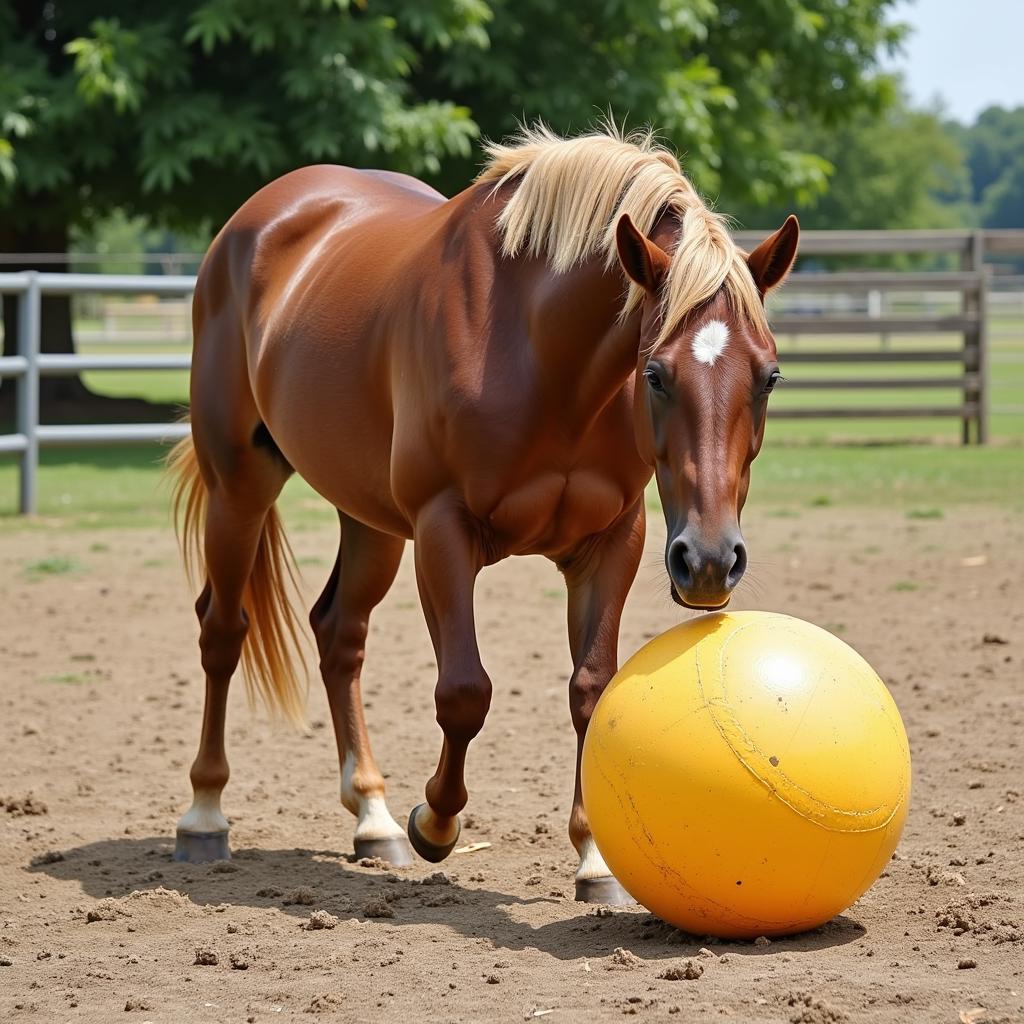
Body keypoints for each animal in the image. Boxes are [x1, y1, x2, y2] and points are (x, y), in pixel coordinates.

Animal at [169, 123, 798, 901]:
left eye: (769, 376)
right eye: (655, 372)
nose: (708, 561)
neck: (539, 352)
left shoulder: (614, 538)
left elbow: (591, 689)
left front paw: (596, 860)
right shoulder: (443, 530)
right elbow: (465, 692)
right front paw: (435, 824)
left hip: (368, 519)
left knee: (339, 635)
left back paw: (372, 817)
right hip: (240, 486)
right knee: (223, 631)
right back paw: (205, 817)